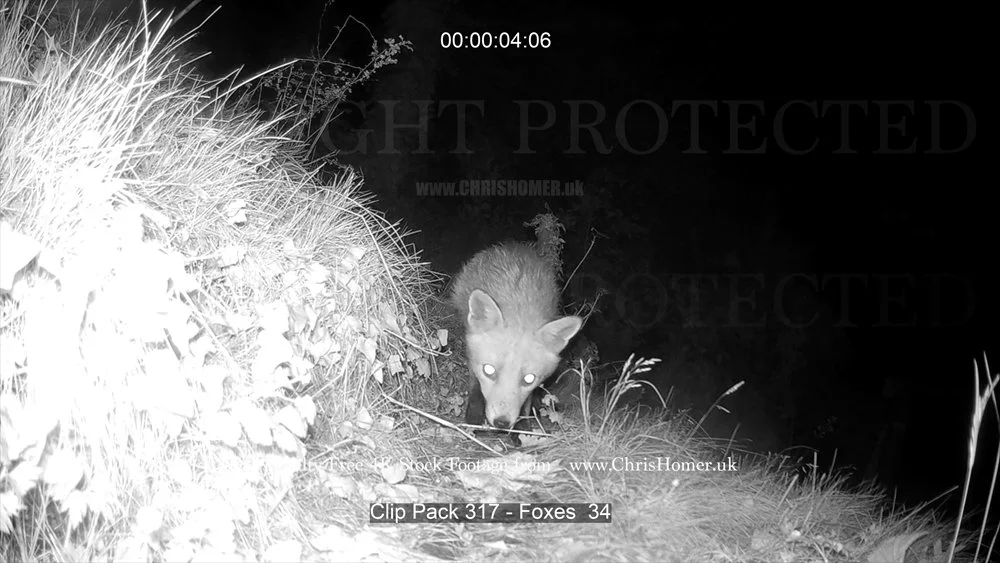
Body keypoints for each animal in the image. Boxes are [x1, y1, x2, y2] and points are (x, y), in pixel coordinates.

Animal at [450, 242, 583, 438]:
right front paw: (473, 418)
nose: (502, 423)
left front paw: (521, 431)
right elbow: (475, 387)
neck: (519, 308)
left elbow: (526, 404)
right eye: (488, 370)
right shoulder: (472, 356)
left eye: (528, 379)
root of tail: (515, 245)